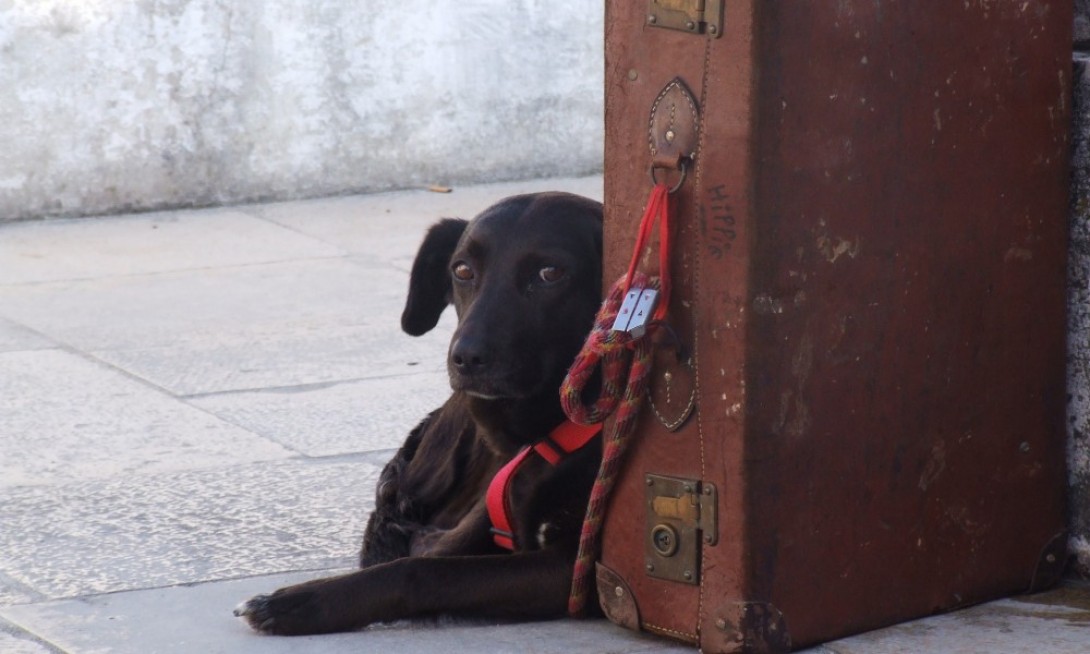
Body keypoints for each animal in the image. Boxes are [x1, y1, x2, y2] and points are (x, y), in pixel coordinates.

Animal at [234, 188, 606, 632]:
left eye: (550, 273)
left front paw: (304, 602)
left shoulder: (574, 571)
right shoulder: (486, 520)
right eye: (462, 271)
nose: (465, 358)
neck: (552, 432)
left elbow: (419, 570)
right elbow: (422, 557)